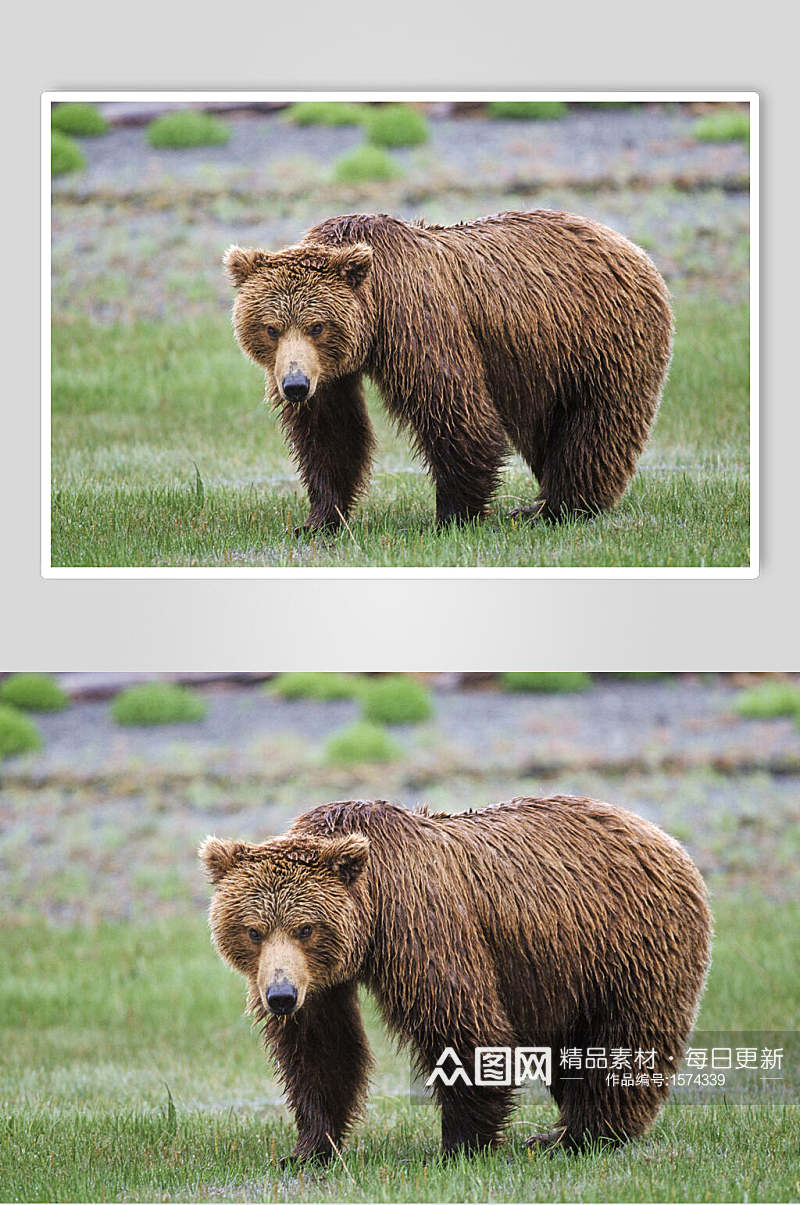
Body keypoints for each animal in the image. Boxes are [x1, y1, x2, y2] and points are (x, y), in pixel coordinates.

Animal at [201, 795, 713, 1161]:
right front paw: (306, 1149)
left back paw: (576, 1137)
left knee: (620, 1043)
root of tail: (663, 837)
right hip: (563, 971)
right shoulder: (321, 981)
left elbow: (461, 1024)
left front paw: (460, 1146)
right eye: (253, 930)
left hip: (627, 945)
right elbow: (321, 1051)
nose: (280, 996)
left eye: (305, 928)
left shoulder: (421, 927)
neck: (371, 917)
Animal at [221, 209, 669, 530]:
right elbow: (331, 433)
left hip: (601, 340)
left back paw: (554, 509)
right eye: (271, 327)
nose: (295, 385)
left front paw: (451, 516)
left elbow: (454, 411)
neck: (374, 316)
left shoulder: (416, 322)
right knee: (545, 428)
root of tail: (631, 247)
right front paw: (318, 519)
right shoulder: (330, 373)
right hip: (541, 363)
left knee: (596, 426)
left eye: (317, 325)